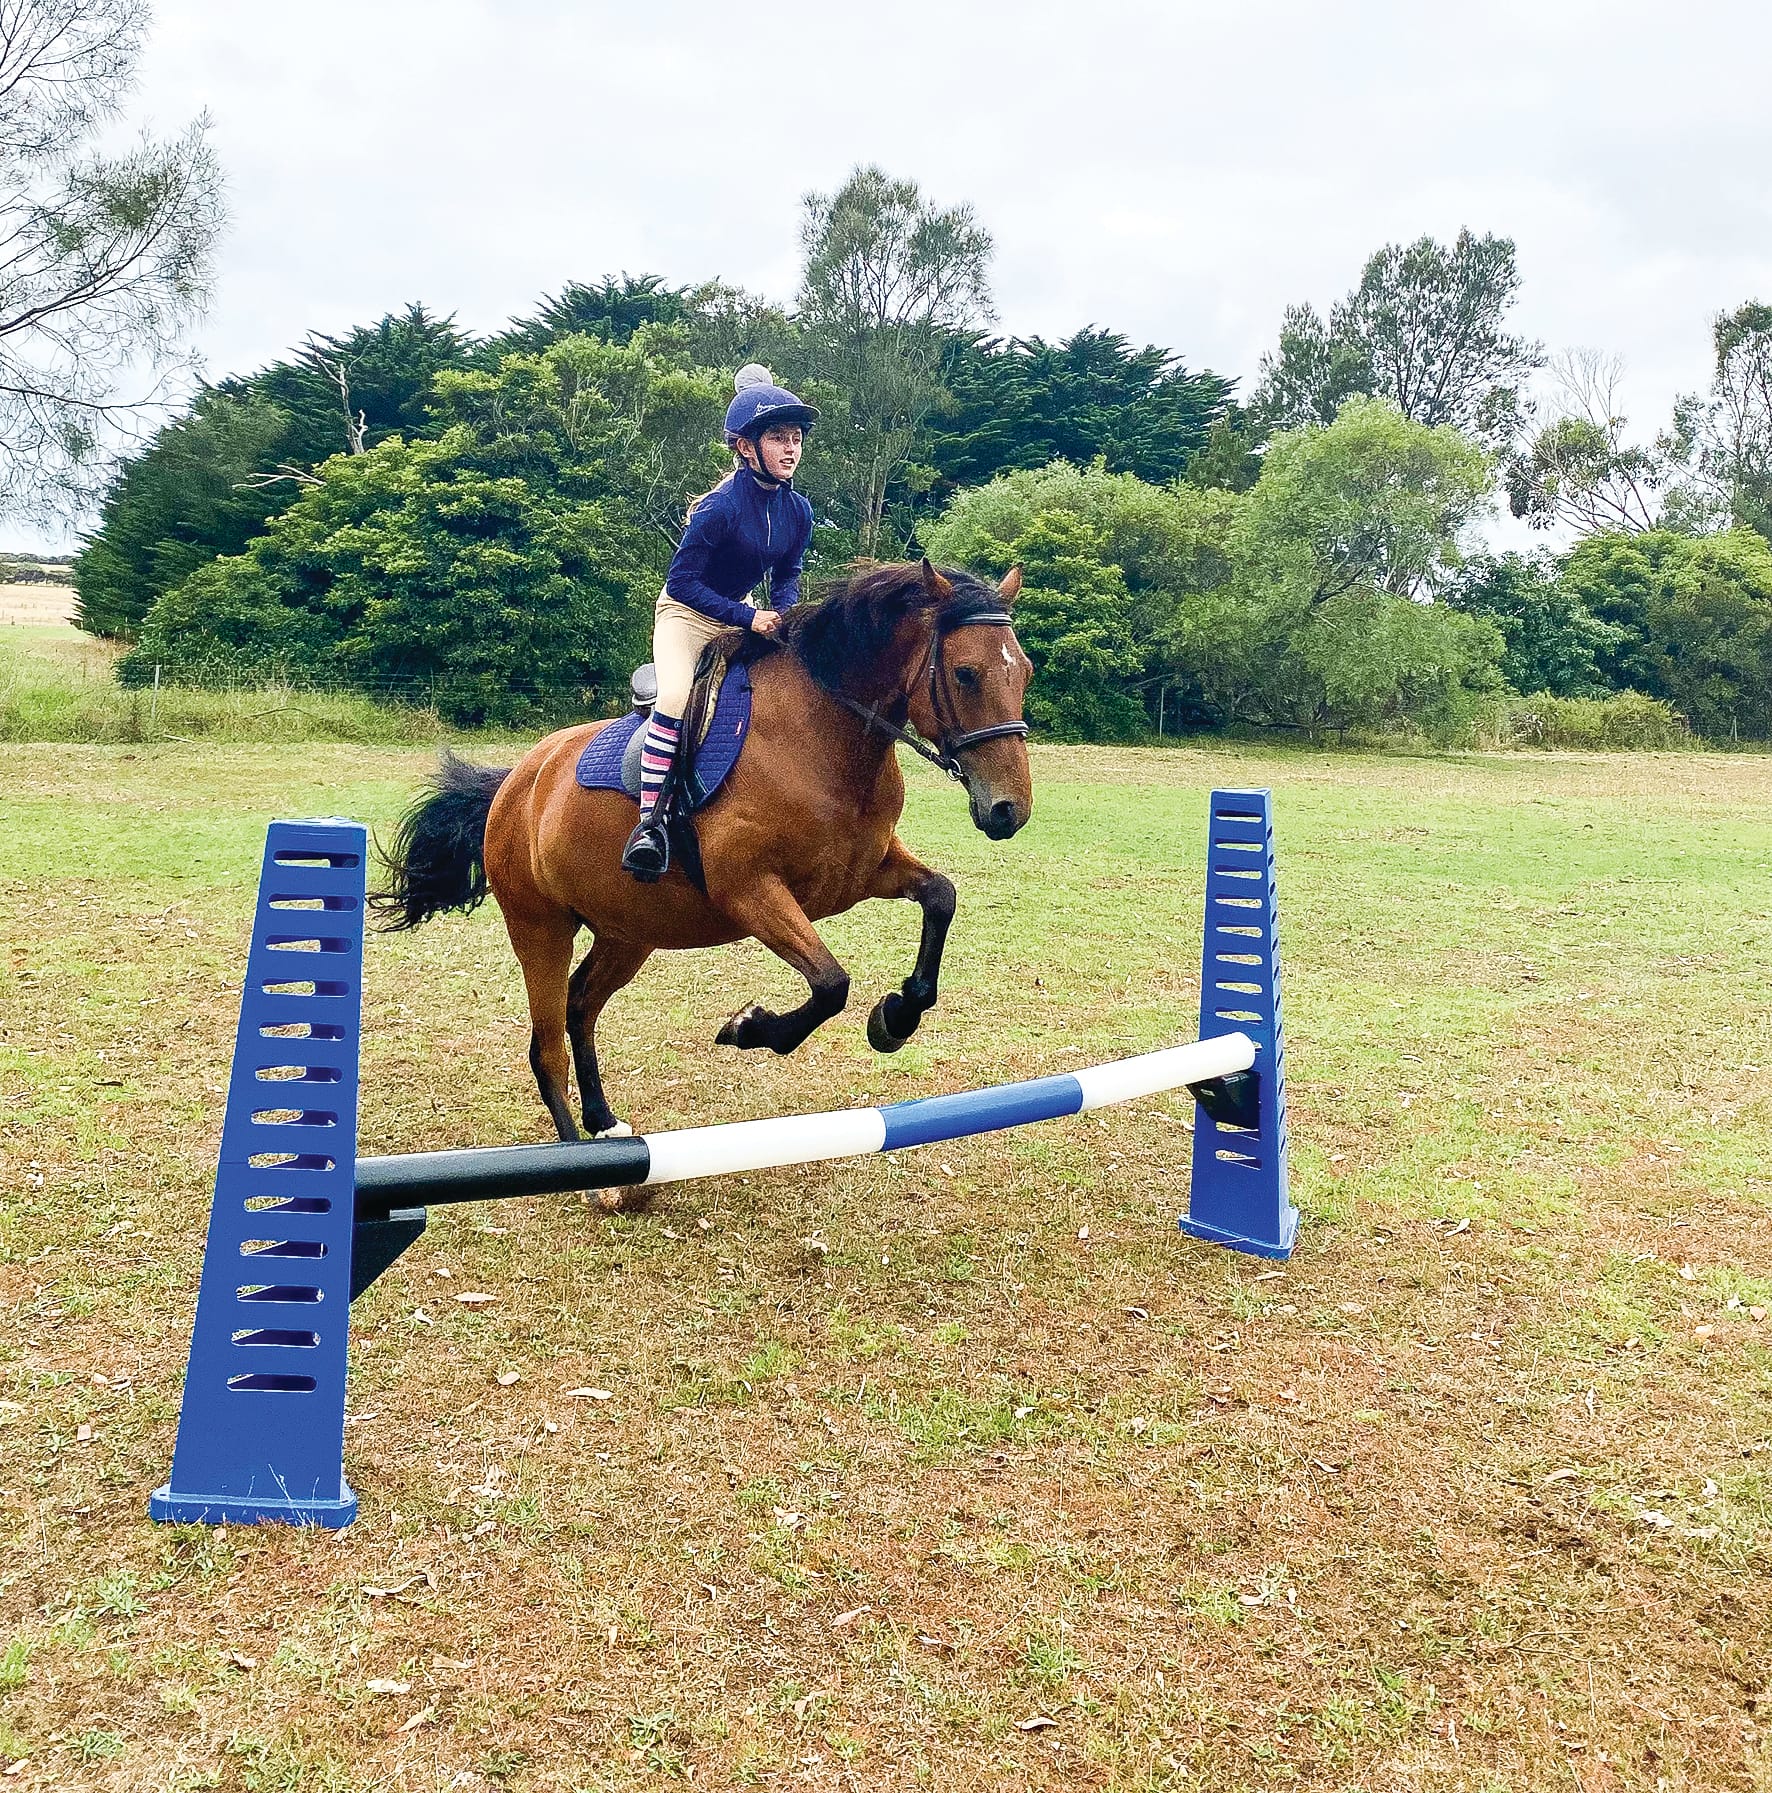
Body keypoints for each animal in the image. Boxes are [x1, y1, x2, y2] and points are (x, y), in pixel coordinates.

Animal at [374, 560, 1034, 1155]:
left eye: (1023, 671)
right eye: (966, 674)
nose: (1010, 811)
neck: (824, 740)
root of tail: (515, 780)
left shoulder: (862, 873)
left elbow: (941, 897)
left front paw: (895, 1018)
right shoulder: (749, 891)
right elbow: (830, 983)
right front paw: (752, 1029)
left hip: (628, 930)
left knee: (581, 1006)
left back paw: (604, 1123)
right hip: (539, 926)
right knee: (547, 1045)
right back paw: (584, 1169)